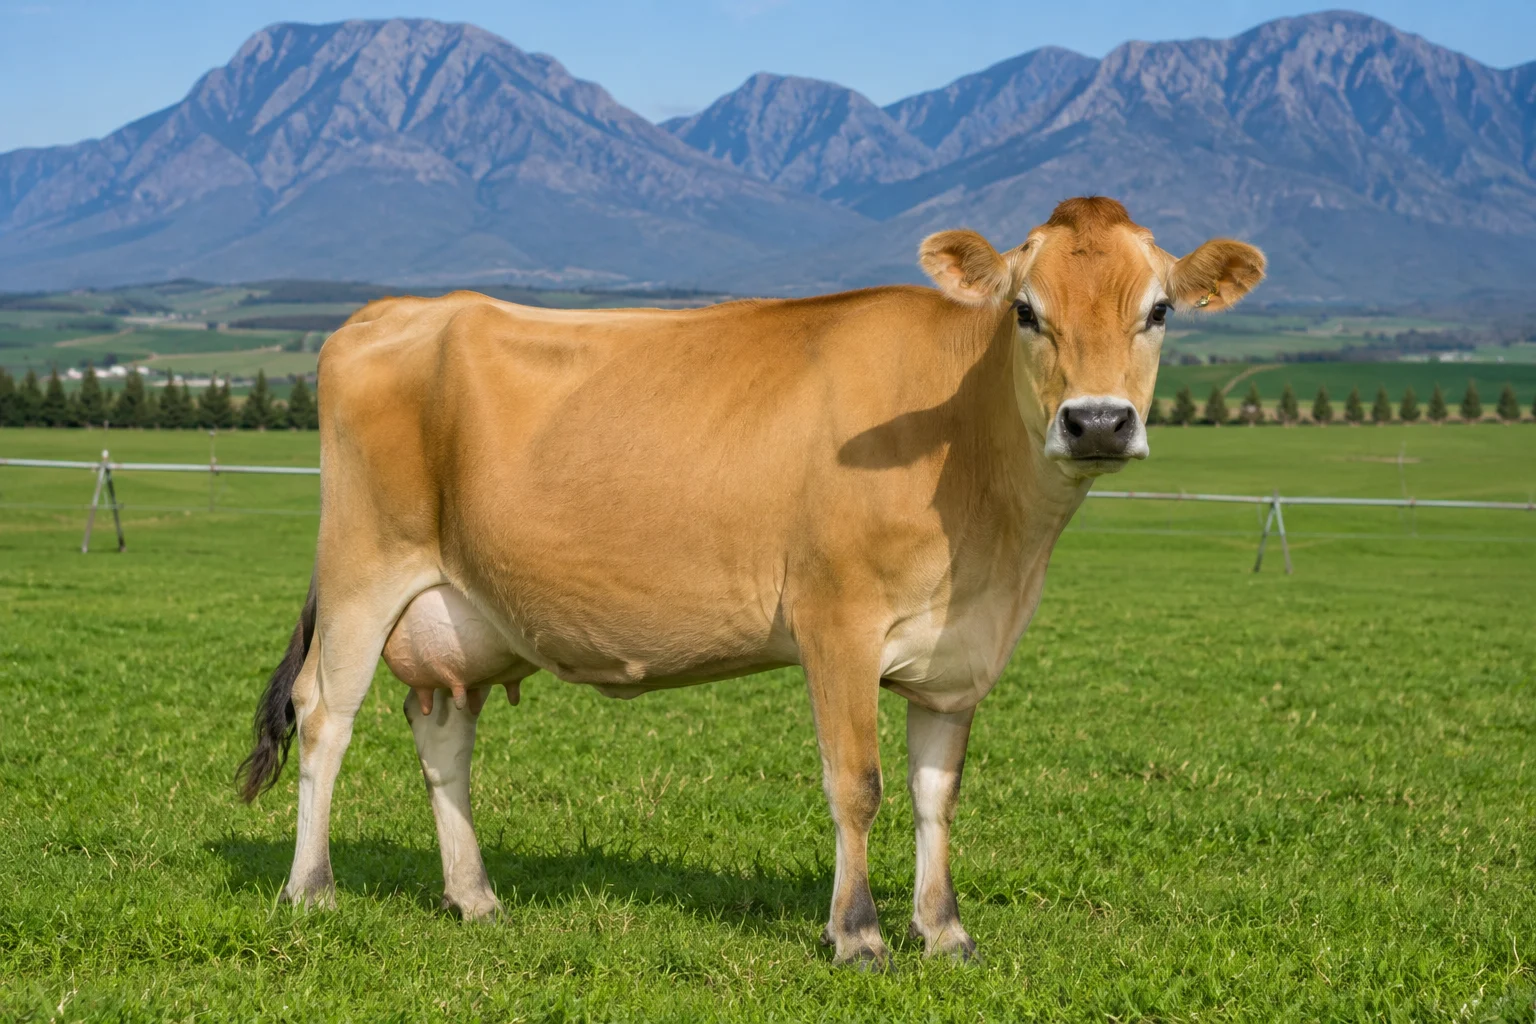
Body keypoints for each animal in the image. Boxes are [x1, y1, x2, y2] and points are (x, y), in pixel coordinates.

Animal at [237, 196, 1264, 969]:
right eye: (1025, 310)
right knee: (325, 714)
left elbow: (937, 792)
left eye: (1160, 310)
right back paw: (312, 891)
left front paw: (945, 931)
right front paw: (858, 936)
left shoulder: (961, 650)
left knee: (443, 734)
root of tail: (391, 311)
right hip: (365, 564)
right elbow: (858, 782)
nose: (1097, 422)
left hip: (458, 608)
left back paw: (475, 897)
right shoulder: (836, 619)